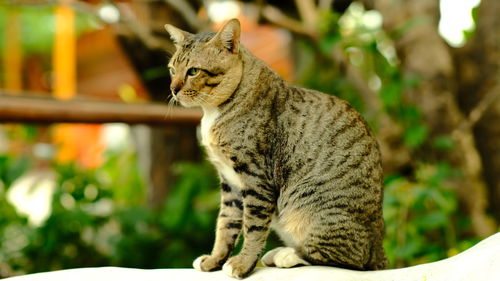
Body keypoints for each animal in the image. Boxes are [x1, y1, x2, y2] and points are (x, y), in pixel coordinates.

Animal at [164, 19, 386, 278]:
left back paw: (287, 254)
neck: (214, 111)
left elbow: (253, 226)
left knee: (349, 258)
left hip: (310, 205)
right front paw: (215, 259)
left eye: (193, 71)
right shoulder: (229, 182)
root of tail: (378, 246)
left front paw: (243, 264)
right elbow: (225, 224)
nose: (173, 89)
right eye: (172, 70)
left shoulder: (256, 177)